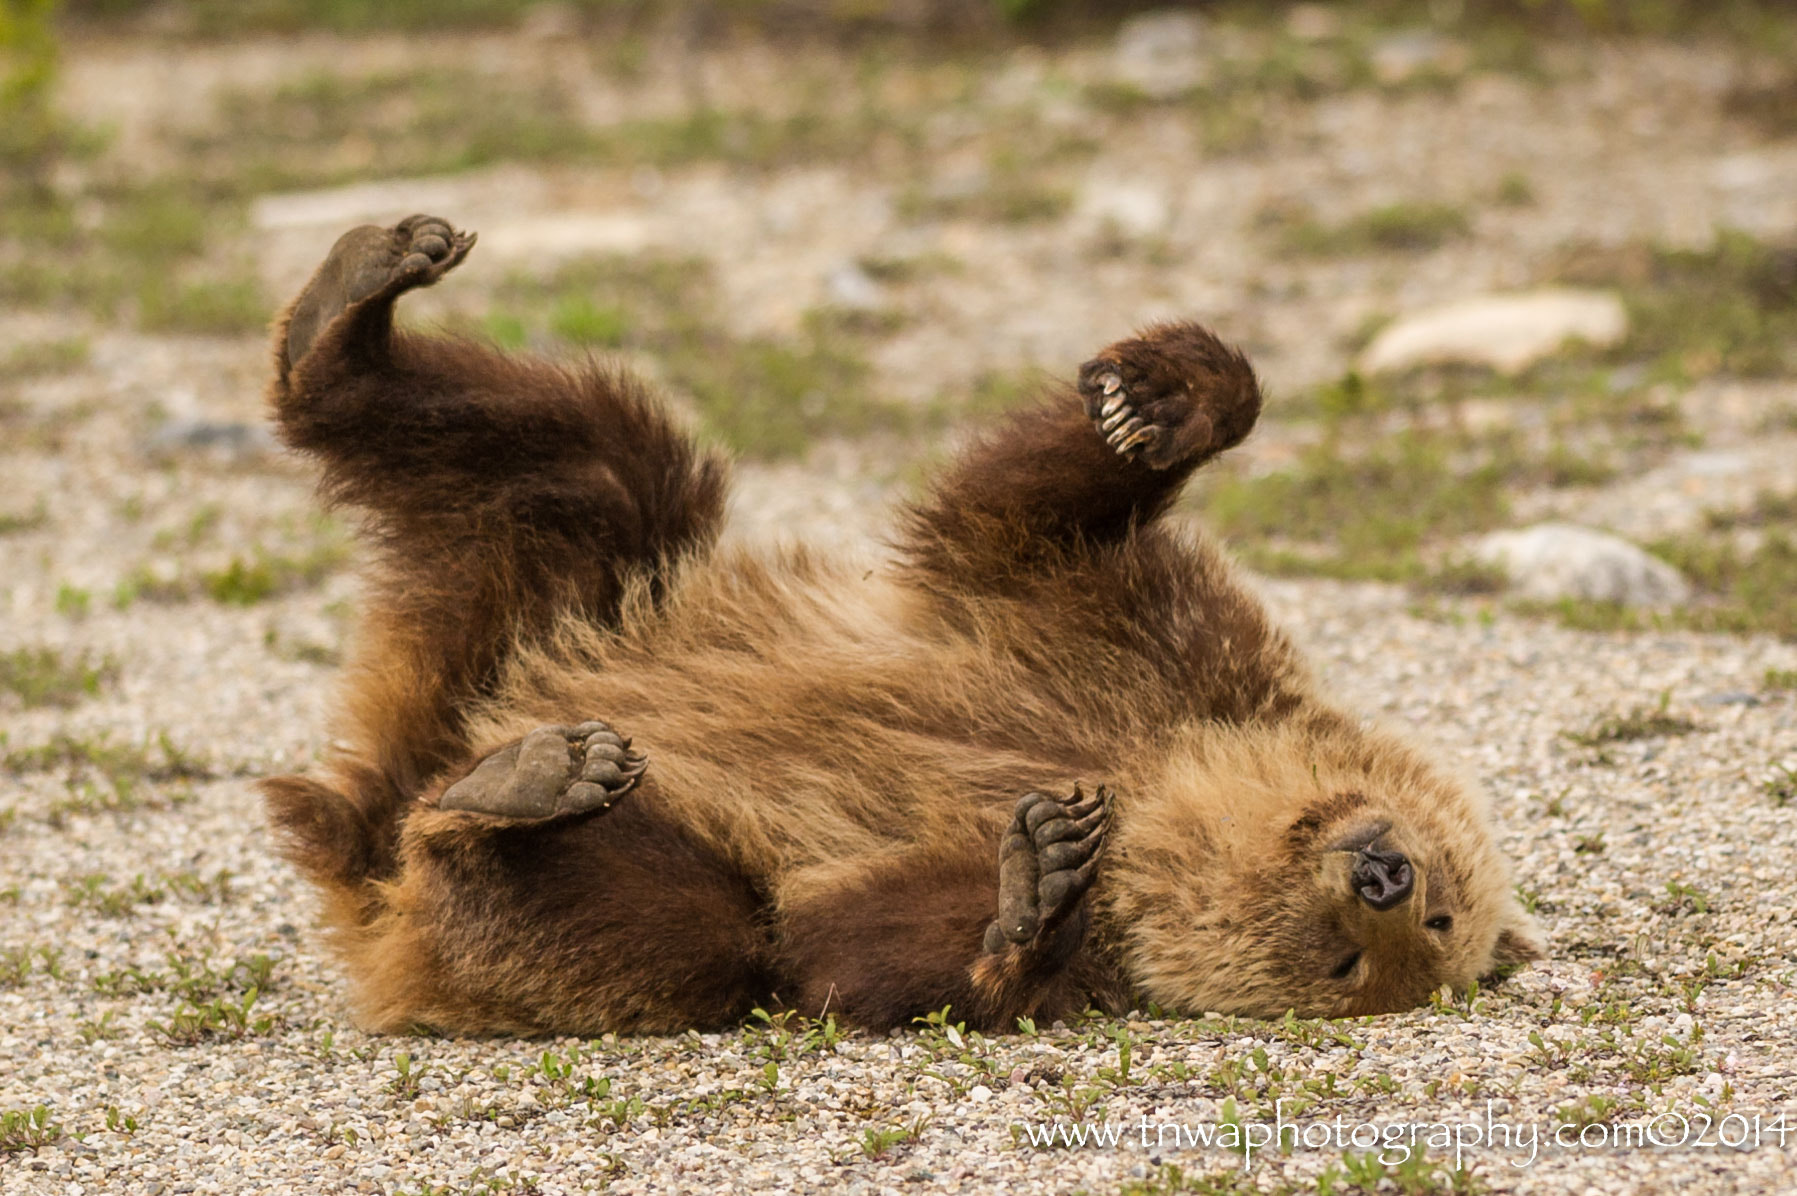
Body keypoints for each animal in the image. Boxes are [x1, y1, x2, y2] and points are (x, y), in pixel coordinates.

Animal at [262, 214, 1545, 1034]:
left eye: (1370, 954)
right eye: (1435, 895)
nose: (1382, 876)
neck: (1166, 778)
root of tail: (375, 797)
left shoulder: (1040, 897)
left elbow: (835, 947)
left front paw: (1037, 880)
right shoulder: (1138, 633)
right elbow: (1018, 512)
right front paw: (1161, 397)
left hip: (556, 838)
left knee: (673, 921)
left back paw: (523, 785)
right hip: (580, 586)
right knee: (586, 457)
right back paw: (356, 299)